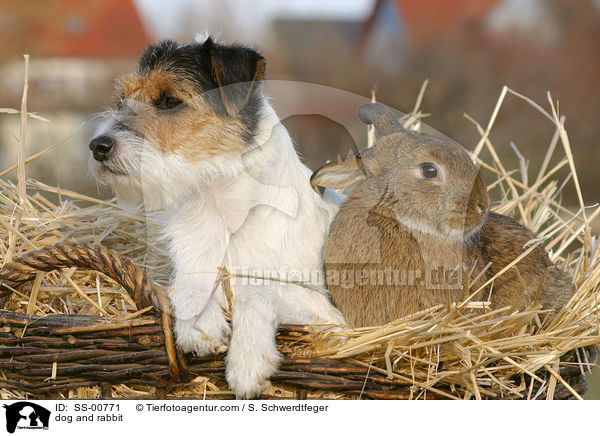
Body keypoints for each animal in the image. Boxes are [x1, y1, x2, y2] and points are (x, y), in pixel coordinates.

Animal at [86, 36, 344, 398]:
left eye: (170, 101)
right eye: (122, 100)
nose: (98, 146)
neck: (220, 211)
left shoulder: (331, 316)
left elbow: (256, 290)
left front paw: (248, 361)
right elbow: (183, 288)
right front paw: (199, 324)